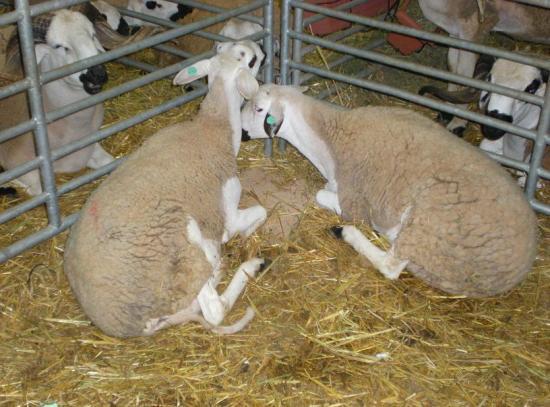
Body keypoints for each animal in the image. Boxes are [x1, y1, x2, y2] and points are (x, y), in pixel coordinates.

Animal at [0, 8, 115, 195]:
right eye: (60, 46)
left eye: (92, 35)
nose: (98, 74)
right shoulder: (19, 165)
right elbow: (36, 189)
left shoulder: (91, 149)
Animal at [63, 39, 270, 340]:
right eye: (250, 60)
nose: (261, 46)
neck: (213, 128)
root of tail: (131, 325)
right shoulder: (227, 206)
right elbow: (260, 213)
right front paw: (241, 234)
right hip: (184, 245)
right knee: (214, 309)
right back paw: (246, 267)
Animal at [240, 84, 540, 298]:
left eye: (258, 109)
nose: (240, 133)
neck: (331, 139)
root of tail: (519, 268)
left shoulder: (353, 199)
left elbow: (322, 194)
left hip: (428, 226)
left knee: (391, 266)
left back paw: (348, 233)